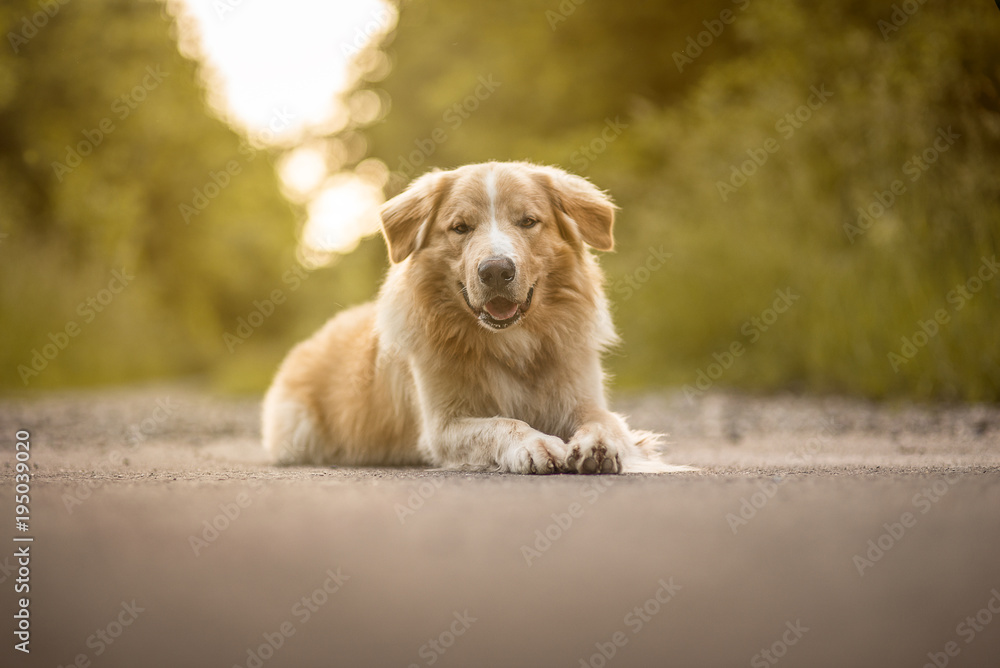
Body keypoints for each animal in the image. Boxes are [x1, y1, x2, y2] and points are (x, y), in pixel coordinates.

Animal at [262, 160, 692, 474]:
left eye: (528, 221)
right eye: (460, 227)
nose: (496, 271)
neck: (510, 341)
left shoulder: (583, 398)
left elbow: (605, 422)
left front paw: (598, 445)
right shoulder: (443, 426)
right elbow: (502, 423)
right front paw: (534, 443)